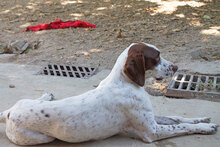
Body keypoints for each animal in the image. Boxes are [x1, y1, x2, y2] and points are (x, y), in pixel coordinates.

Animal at [0, 42, 217, 145]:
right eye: (156, 57)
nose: (176, 67)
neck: (125, 82)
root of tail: (9, 114)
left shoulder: (152, 118)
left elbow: (178, 118)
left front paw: (202, 119)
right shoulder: (152, 131)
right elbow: (180, 126)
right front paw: (205, 128)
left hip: (24, 101)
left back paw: (46, 96)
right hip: (41, 138)